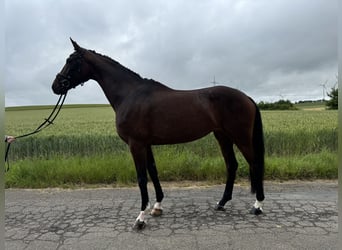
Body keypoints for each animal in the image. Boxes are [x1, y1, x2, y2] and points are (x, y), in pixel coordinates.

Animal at [51, 38, 264, 229]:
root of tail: (246, 97)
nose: (55, 86)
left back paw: (258, 206)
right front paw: (157, 206)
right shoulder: (146, 144)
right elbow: (153, 171)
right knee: (232, 165)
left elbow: (141, 178)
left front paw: (140, 218)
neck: (130, 95)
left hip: (240, 137)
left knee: (254, 164)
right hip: (222, 136)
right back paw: (221, 203)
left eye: (71, 61)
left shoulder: (136, 144)